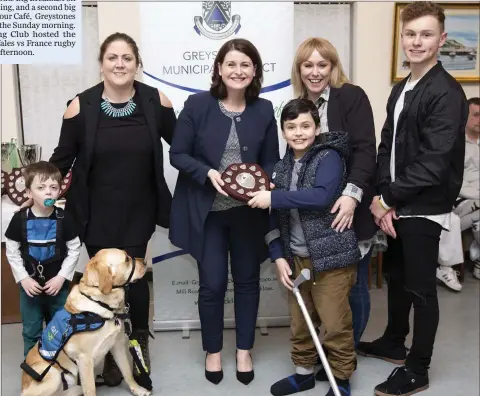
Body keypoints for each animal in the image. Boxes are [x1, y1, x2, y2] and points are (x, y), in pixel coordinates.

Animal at [20, 249, 151, 394]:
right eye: (127, 259)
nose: (145, 261)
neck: (101, 305)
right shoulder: (84, 359)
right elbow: (90, 389)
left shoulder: (117, 345)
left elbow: (127, 371)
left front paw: (138, 389)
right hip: (53, 375)